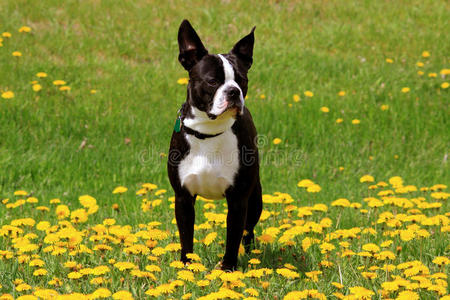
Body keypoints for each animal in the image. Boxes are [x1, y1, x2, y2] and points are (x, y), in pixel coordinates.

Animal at [167, 19, 262, 270]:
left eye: (242, 80)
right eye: (212, 81)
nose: (234, 91)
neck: (208, 132)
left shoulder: (238, 200)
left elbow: (233, 238)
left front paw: (227, 269)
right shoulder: (183, 198)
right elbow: (186, 237)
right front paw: (187, 267)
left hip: (255, 200)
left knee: (248, 231)